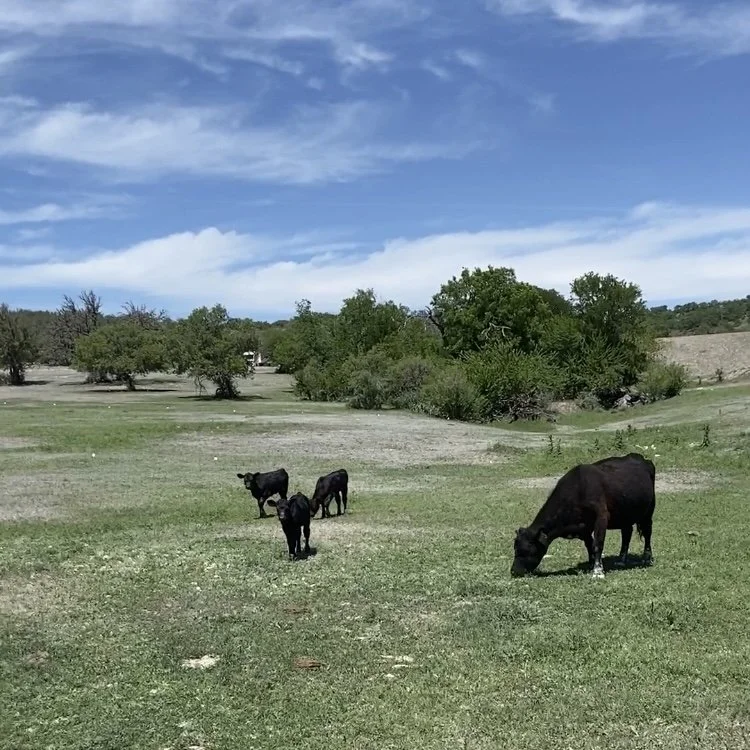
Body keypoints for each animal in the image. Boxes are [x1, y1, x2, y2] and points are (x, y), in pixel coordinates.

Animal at [511, 452, 655, 579]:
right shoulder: (584, 527)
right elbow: (589, 545)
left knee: (647, 533)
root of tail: (640, 457)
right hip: (625, 513)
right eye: (515, 549)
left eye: (526, 550)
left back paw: (647, 558)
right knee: (626, 533)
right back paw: (621, 559)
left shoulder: (602, 517)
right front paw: (592, 564)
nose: (514, 571)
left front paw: (598, 571)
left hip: (649, 511)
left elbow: (597, 544)